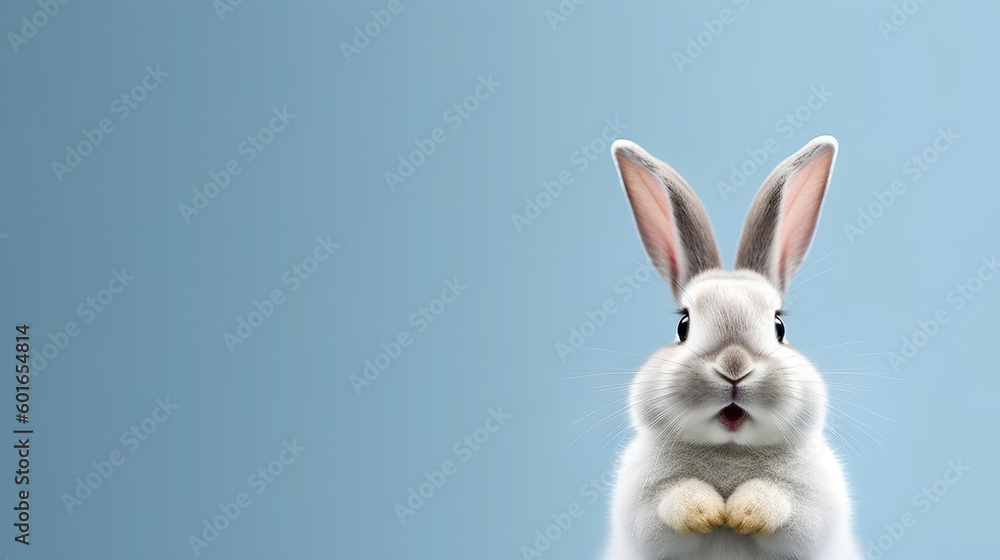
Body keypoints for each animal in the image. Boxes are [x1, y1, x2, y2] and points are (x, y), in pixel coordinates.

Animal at [602, 136, 862, 560]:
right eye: (683, 325)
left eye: (779, 326)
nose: (734, 367)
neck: (730, 450)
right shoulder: (638, 503)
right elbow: (664, 506)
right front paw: (707, 514)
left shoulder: (817, 505)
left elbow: (789, 506)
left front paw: (742, 514)